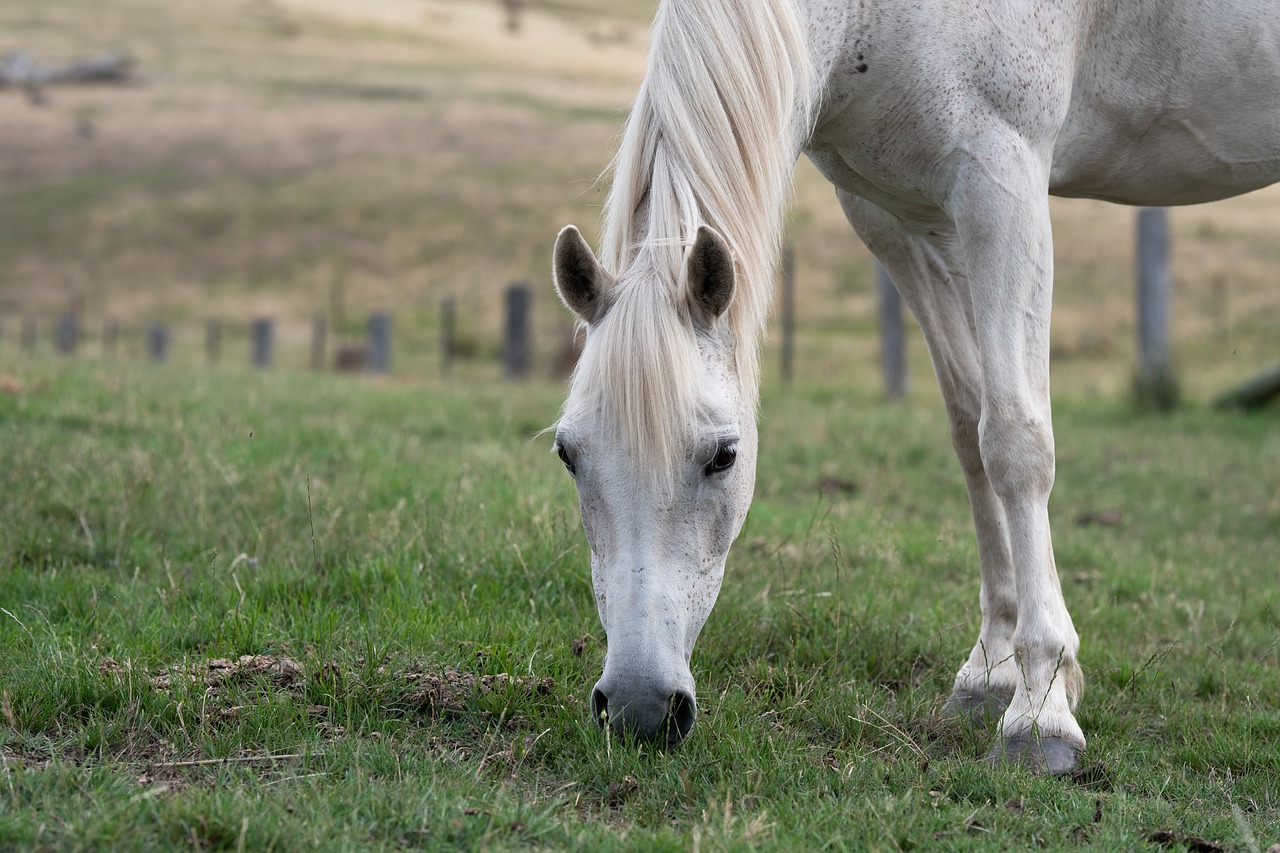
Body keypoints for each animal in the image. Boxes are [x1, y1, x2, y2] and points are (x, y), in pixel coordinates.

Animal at [547, 0, 1280, 768]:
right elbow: (970, 427)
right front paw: (990, 672)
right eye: (568, 454)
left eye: (724, 456)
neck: (868, 20)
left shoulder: (1003, 181)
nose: (637, 708)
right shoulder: (898, 217)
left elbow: (1016, 439)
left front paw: (1040, 710)